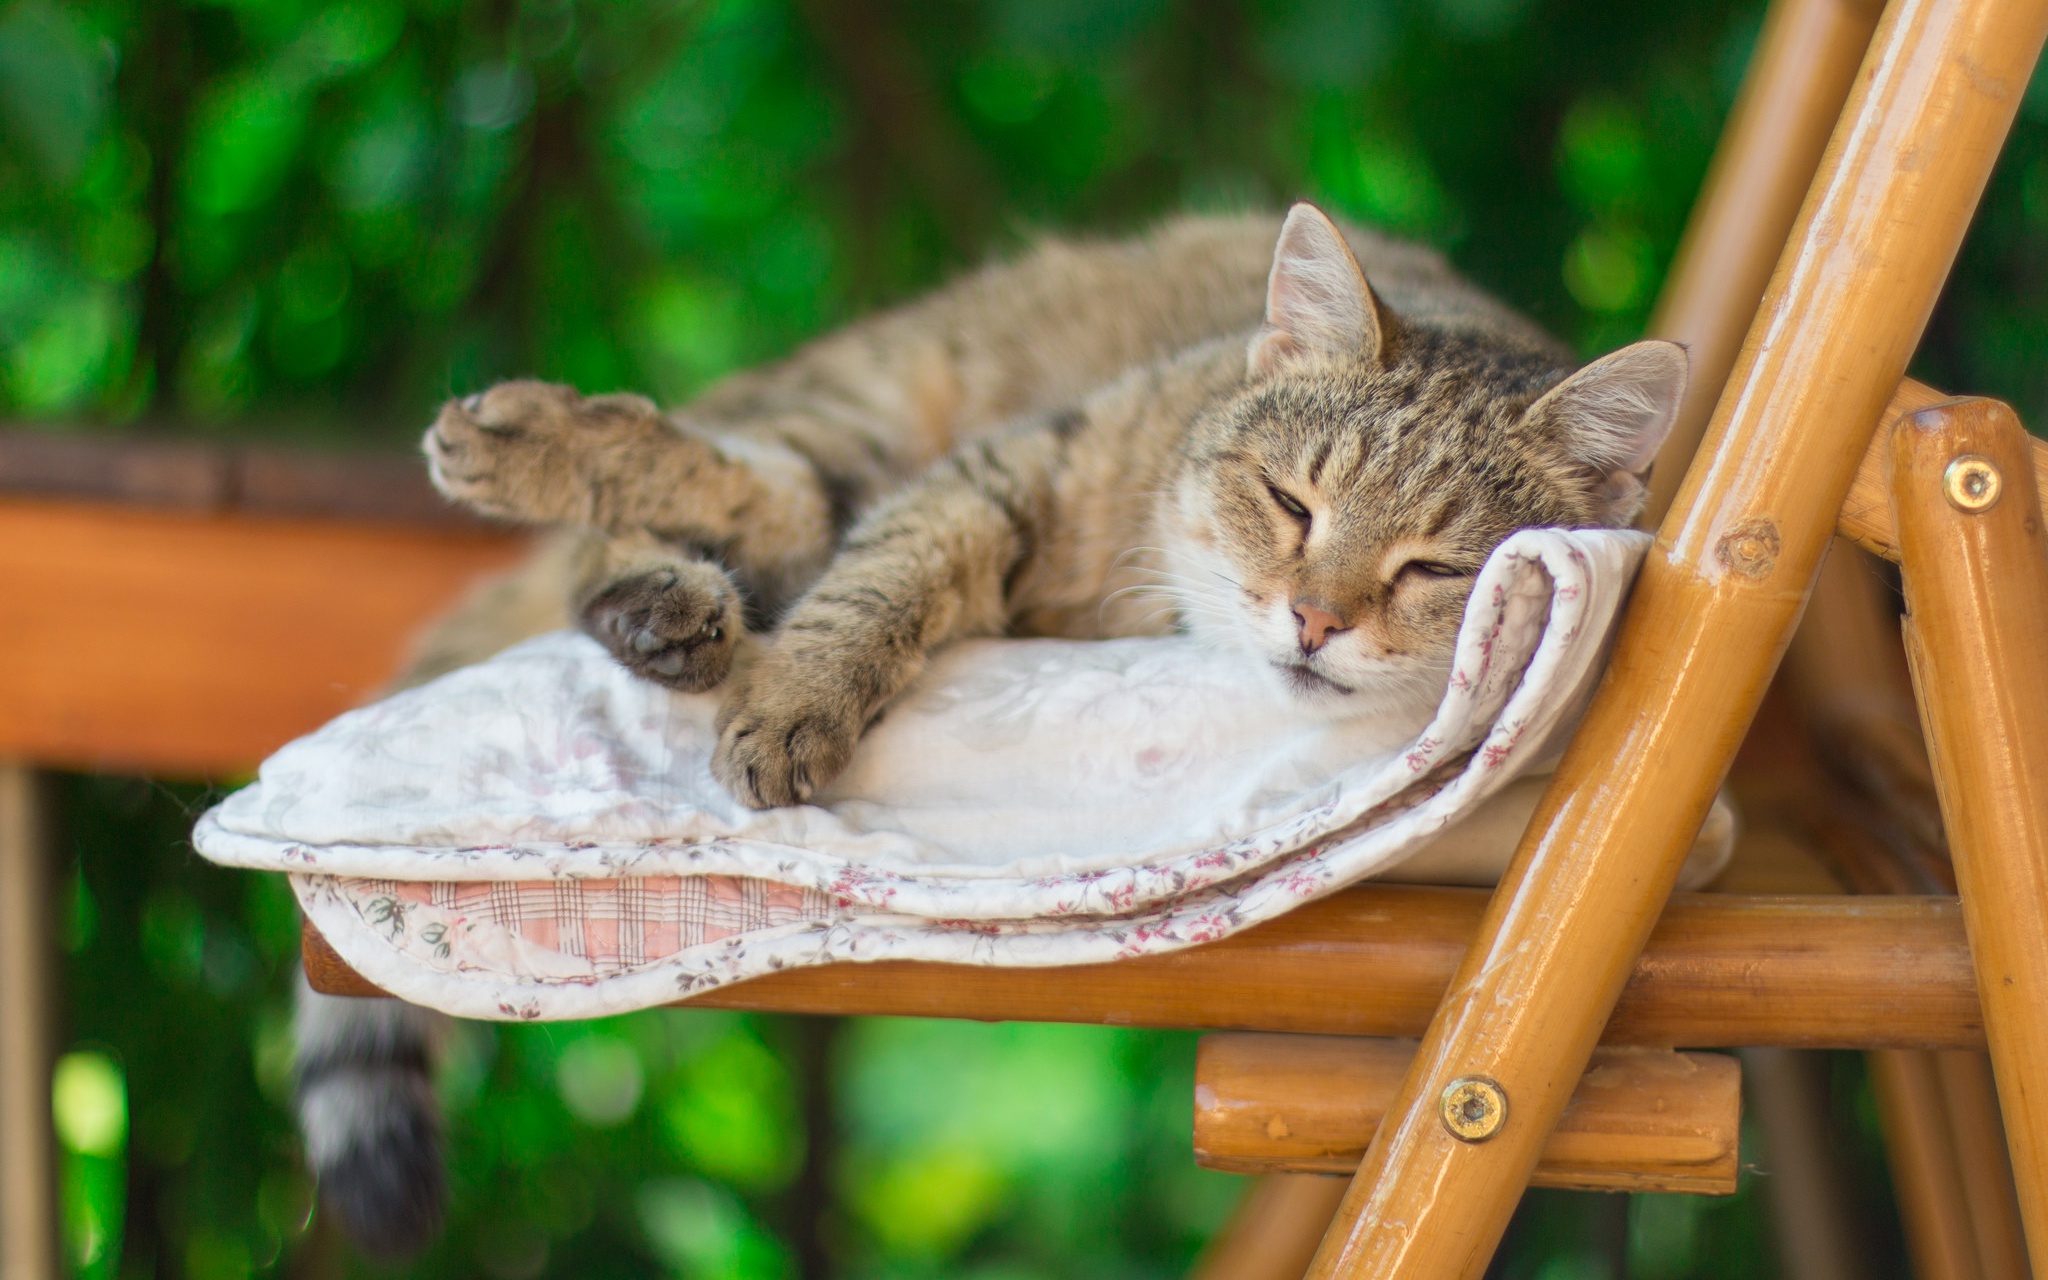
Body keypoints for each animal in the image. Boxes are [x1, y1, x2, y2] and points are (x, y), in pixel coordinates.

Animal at [296, 204, 1687, 1253]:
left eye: (1434, 567)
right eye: (1291, 502)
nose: (1312, 617)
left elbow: (848, 557)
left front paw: (788, 683)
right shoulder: (1002, 472)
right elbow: (874, 564)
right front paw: (798, 690)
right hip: (866, 401)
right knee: (716, 489)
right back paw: (586, 507)